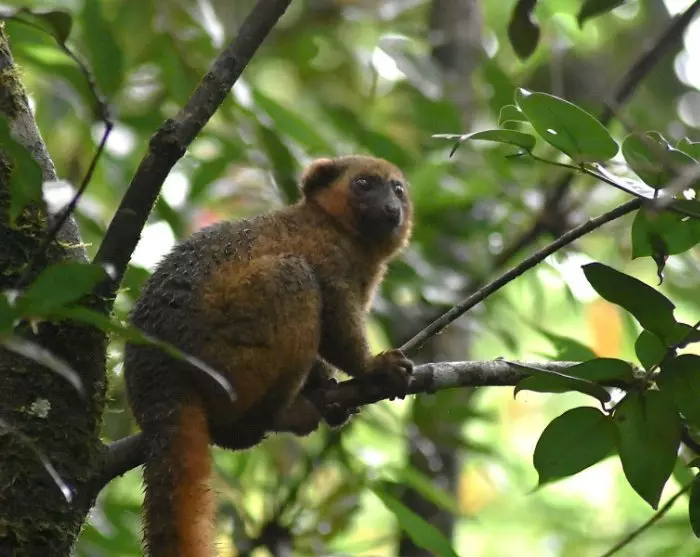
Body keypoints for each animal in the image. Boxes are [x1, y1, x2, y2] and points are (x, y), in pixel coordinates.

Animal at [123, 155, 414, 557]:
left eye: (397, 190)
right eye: (364, 184)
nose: (391, 208)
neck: (340, 230)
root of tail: (155, 370)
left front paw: (324, 385)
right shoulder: (325, 253)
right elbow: (335, 319)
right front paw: (373, 368)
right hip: (227, 358)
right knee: (293, 276)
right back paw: (272, 417)